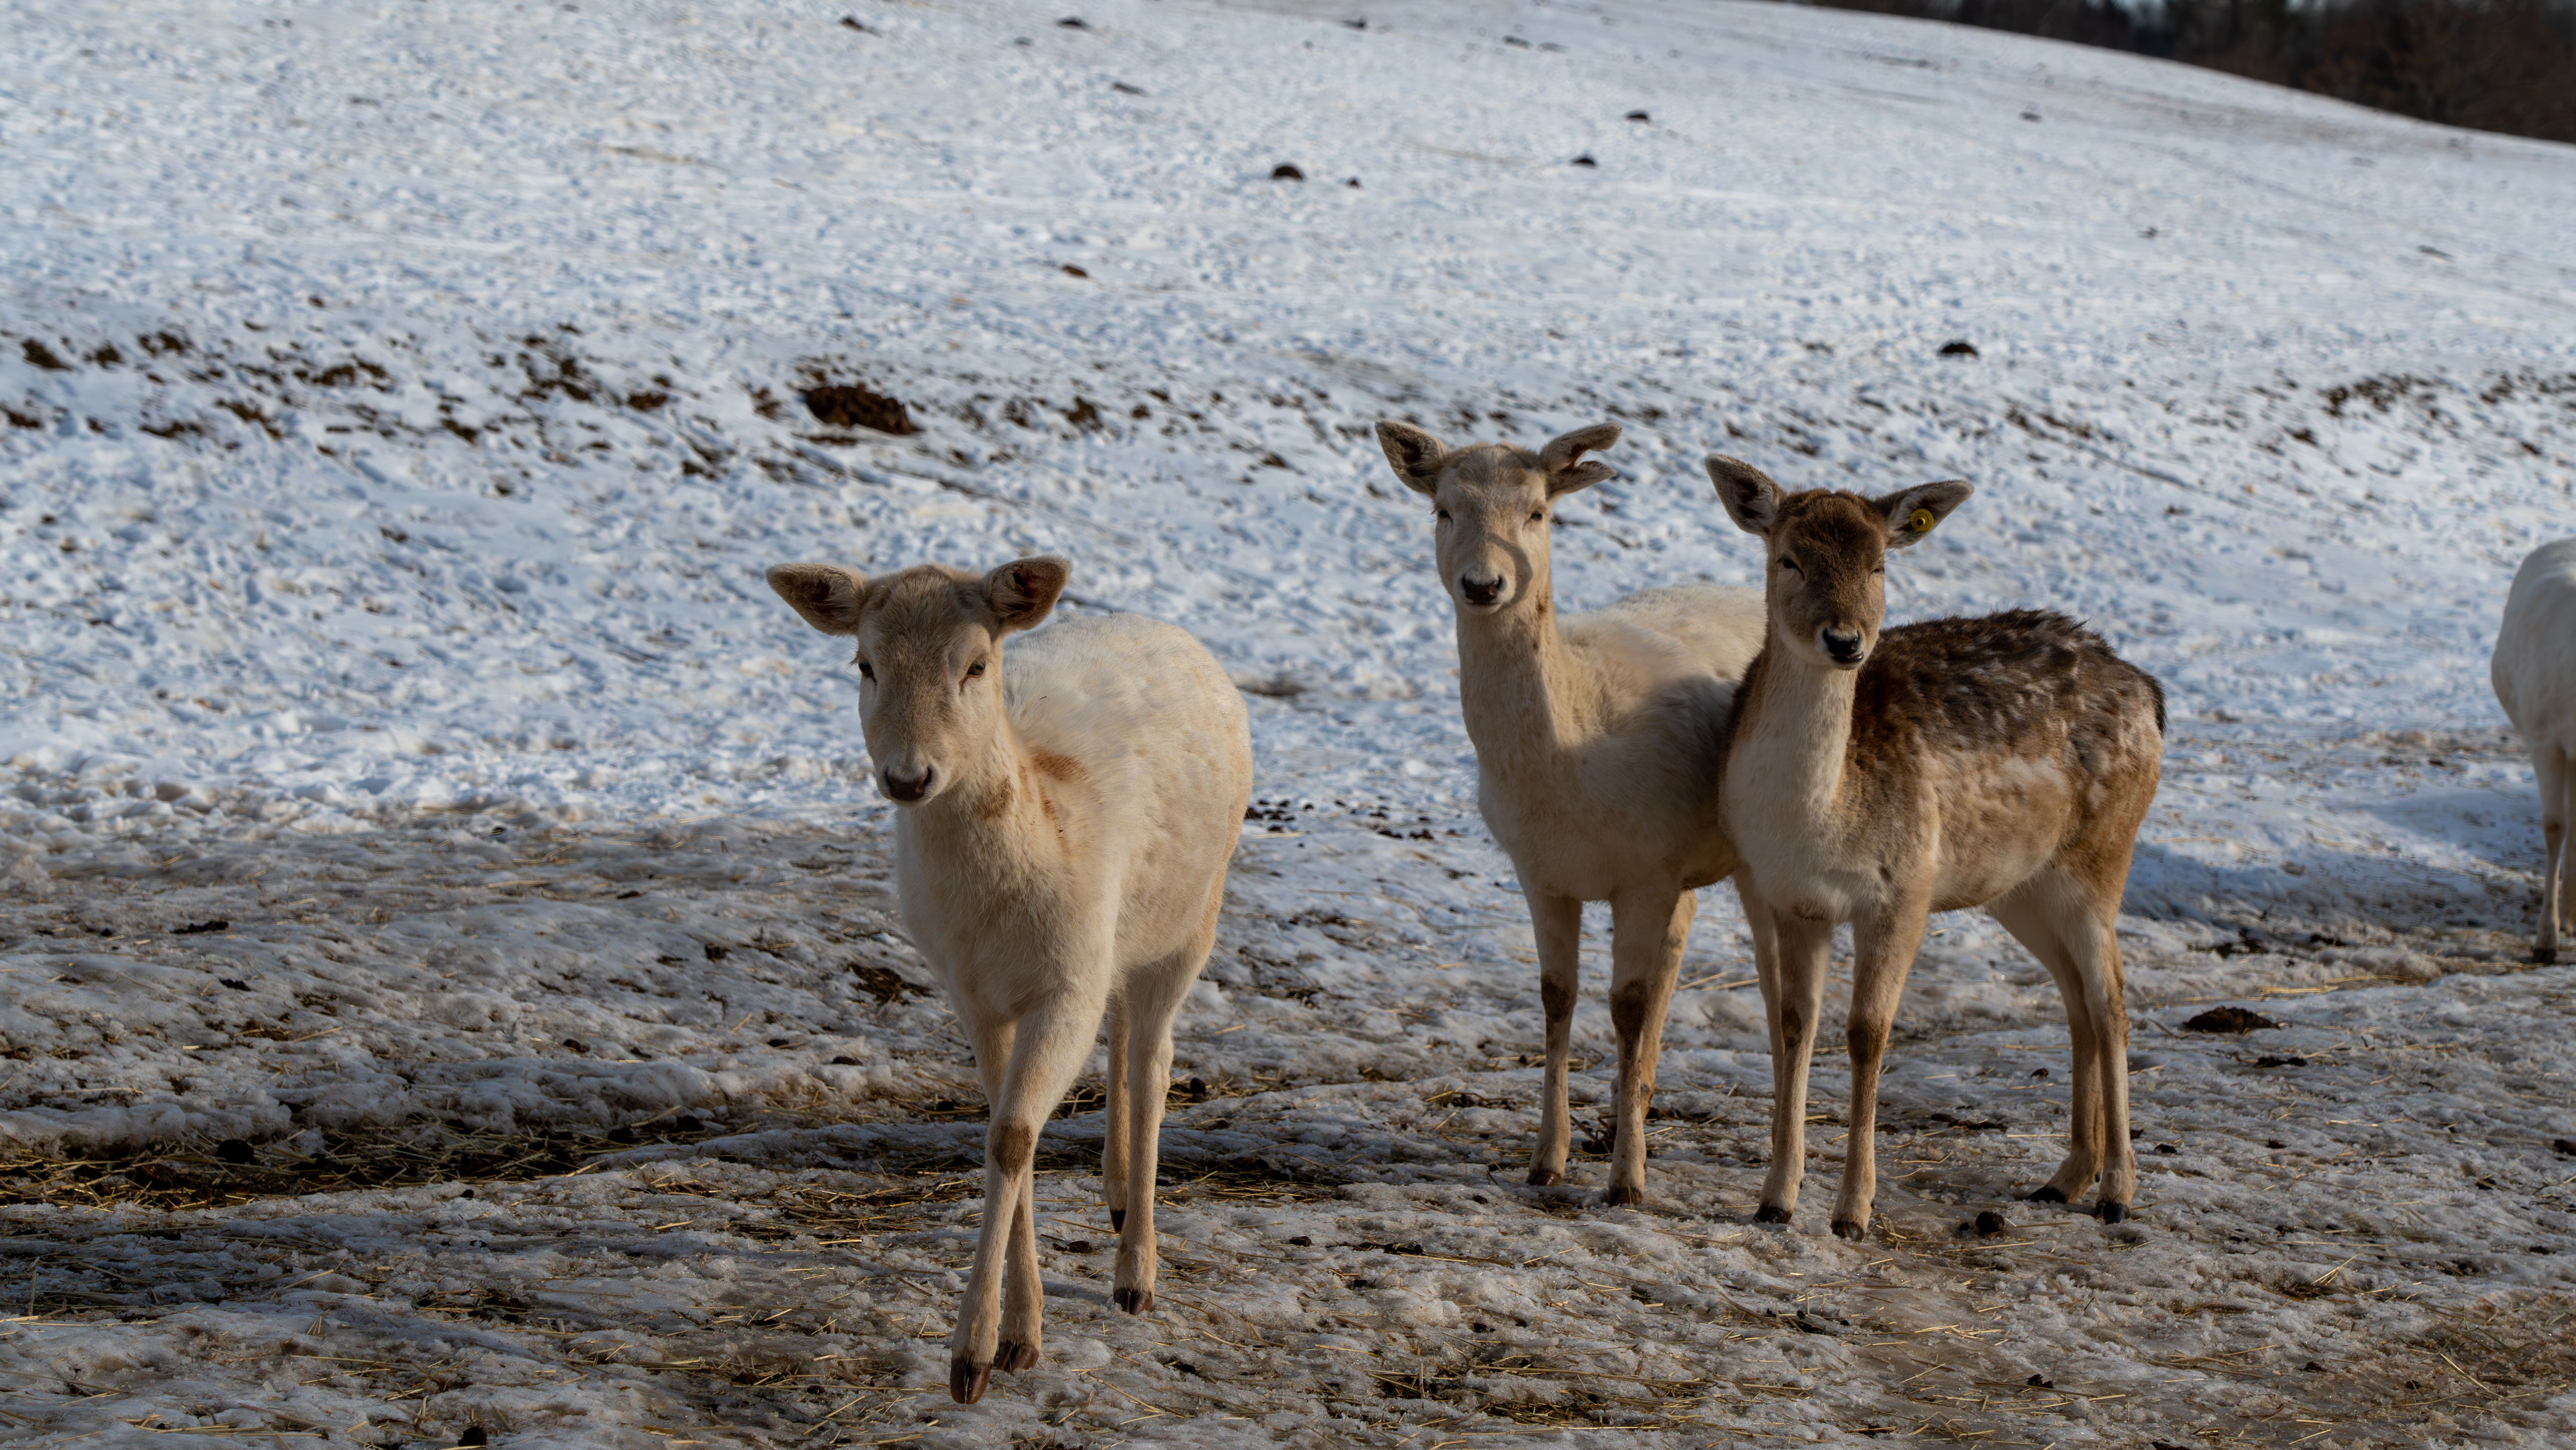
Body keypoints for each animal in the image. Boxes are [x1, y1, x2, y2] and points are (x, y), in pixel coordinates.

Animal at [766, 555, 1253, 1404]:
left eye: (975, 664)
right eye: (864, 663)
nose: (908, 776)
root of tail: (1172, 630)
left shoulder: (1064, 986)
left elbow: (1015, 1135)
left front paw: (971, 1358)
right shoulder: (973, 992)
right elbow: (1005, 1132)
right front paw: (1019, 1338)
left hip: (1194, 915)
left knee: (1154, 1060)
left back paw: (1136, 1269)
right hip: (1119, 937)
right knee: (1123, 1034)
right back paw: (1115, 1194)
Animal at [1373, 419, 1774, 1205]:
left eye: (1537, 512)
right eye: (1443, 510)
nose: (1484, 585)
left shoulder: (1645, 871)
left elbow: (1625, 1004)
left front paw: (1625, 1181)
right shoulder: (1540, 871)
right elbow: (1556, 995)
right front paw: (1546, 1159)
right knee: (1676, 955)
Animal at [1704, 455, 2165, 1237]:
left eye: (1879, 563)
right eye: (1788, 558)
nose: (1845, 641)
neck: (1817, 818)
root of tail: (2151, 690)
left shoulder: (1904, 887)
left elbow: (1866, 1031)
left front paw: (1852, 1210)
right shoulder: (1786, 895)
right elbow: (1794, 1024)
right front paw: (1773, 1198)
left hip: (2101, 857)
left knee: (2111, 1001)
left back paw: (2117, 1190)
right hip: (2021, 886)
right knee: (2074, 996)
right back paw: (2063, 1177)